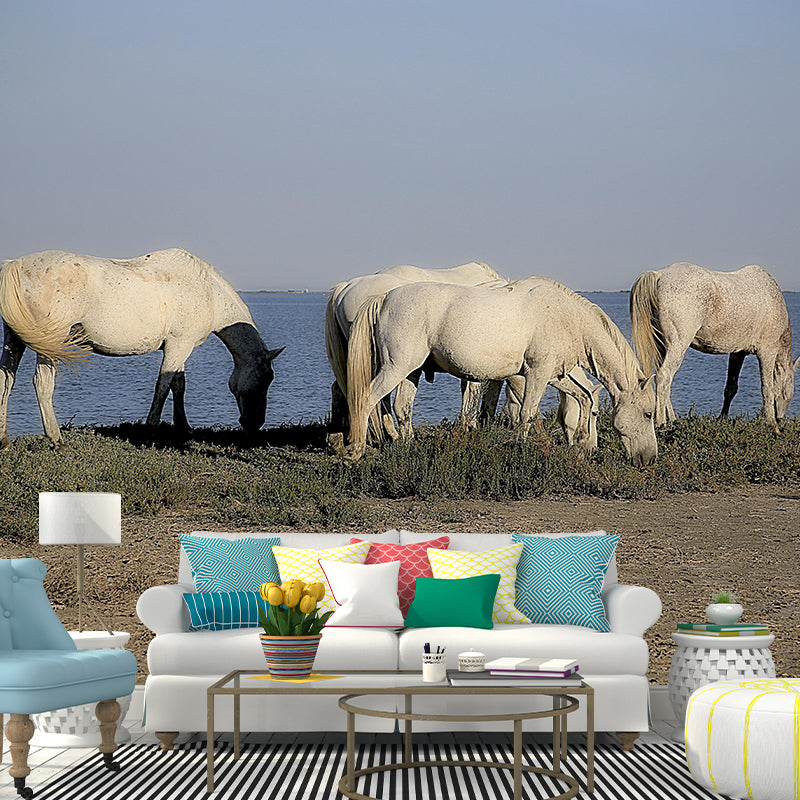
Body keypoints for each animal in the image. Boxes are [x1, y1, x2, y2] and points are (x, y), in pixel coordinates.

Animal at [0, 249, 284, 447]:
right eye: (265, 379)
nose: (254, 424)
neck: (207, 292)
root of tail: (16, 264)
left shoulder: (179, 347)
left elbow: (178, 386)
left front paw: (184, 428)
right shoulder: (179, 346)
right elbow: (164, 386)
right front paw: (150, 430)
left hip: (15, 339)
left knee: (6, 381)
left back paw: (4, 440)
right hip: (50, 345)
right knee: (42, 384)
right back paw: (56, 438)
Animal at [342, 280, 657, 465]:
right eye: (648, 414)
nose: (650, 459)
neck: (567, 318)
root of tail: (384, 297)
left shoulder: (554, 374)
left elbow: (582, 397)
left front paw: (579, 444)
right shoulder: (536, 374)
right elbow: (527, 413)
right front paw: (521, 450)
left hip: (412, 371)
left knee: (402, 408)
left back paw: (408, 450)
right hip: (396, 368)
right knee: (366, 400)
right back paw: (355, 452)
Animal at [630, 263, 798, 430]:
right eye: (787, 392)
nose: (780, 418)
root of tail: (659, 275)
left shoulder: (738, 353)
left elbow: (731, 387)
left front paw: (722, 418)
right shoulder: (767, 351)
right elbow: (767, 388)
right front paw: (772, 424)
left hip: (662, 347)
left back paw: (672, 419)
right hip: (677, 346)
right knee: (664, 377)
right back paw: (661, 422)